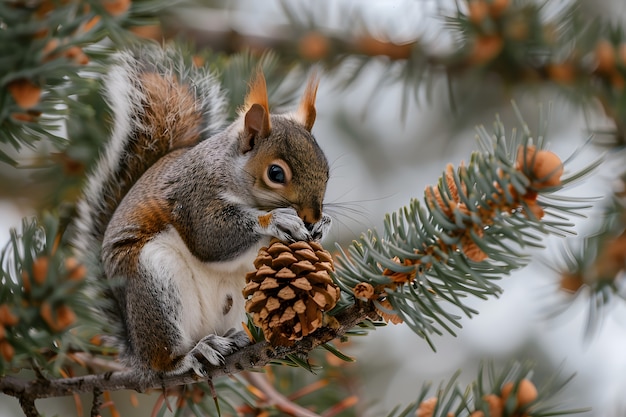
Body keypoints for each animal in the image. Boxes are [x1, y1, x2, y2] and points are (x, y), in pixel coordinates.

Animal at [72, 44, 332, 376]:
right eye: (276, 173)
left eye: (326, 171)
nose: (312, 216)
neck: (230, 172)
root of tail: (135, 350)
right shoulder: (193, 197)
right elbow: (209, 239)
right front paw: (276, 220)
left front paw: (323, 225)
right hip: (155, 283)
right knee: (164, 360)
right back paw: (192, 354)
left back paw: (233, 338)